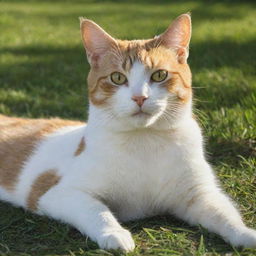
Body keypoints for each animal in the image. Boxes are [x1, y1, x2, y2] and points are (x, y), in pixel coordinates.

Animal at [0, 13, 256, 251]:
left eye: (159, 75)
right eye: (117, 77)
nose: (139, 97)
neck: (146, 140)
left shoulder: (199, 194)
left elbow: (224, 214)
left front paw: (245, 234)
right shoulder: (56, 193)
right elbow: (96, 209)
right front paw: (115, 234)